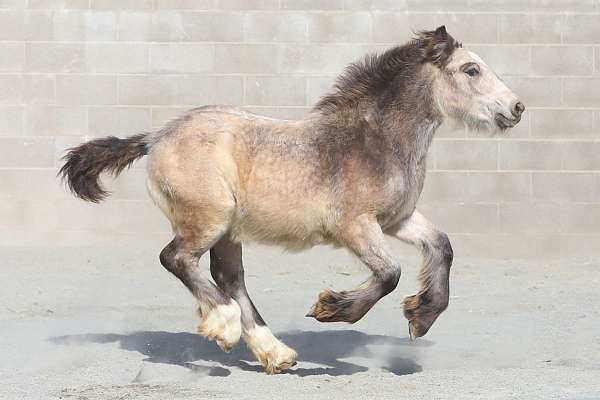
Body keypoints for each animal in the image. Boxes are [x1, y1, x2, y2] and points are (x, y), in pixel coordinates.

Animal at [58, 26, 524, 374]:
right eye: (471, 70)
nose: (517, 108)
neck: (374, 140)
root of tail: (156, 137)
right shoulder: (355, 226)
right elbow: (389, 273)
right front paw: (332, 308)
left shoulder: (396, 219)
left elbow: (442, 246)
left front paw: (421, 317)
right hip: (210, 217)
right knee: (176, 259)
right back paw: (225, 328)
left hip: (229, 229)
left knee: (229, 278)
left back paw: (275, 353)